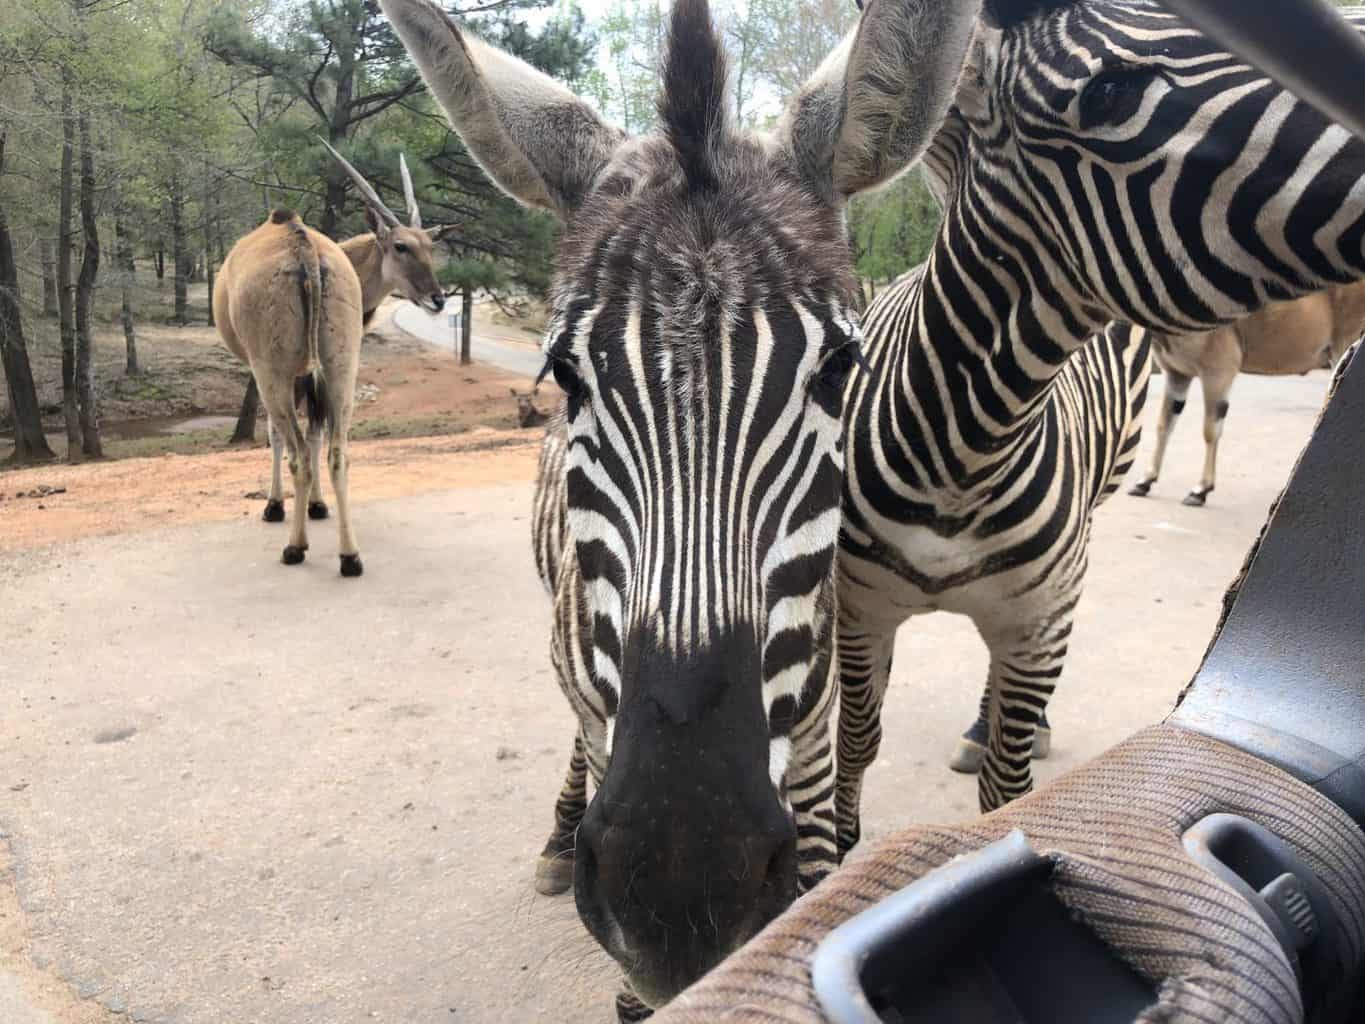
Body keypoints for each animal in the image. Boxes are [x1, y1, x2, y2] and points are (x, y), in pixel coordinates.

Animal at [1130, 278, 1365, 507]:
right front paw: (1145, 480)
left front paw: (1200, 490)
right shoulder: (1177, 375)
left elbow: (1210, 430)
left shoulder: (1218, 371)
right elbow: (1164, 426)